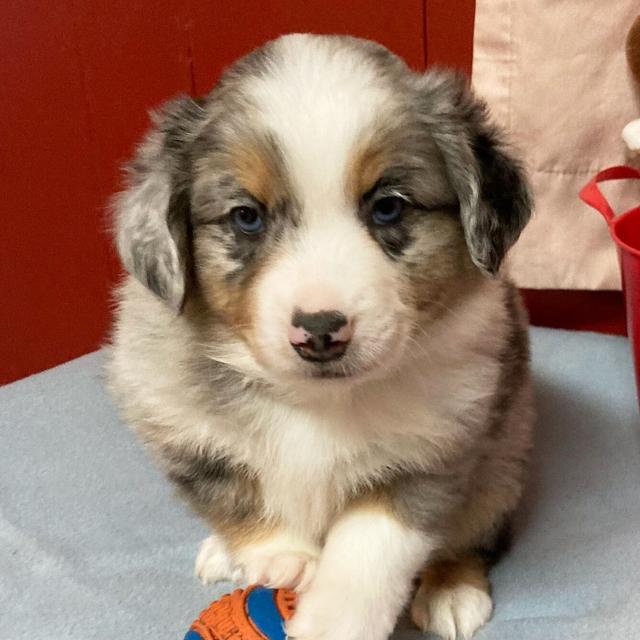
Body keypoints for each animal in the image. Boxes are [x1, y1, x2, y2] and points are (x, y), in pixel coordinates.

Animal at [107, 33, 532, 640]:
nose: (320, 331)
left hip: (504, 459)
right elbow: (233, 496)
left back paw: (453, 589)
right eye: (246, 217)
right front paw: (280, 557)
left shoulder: (433, 453)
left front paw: (331, 620)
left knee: (476, 531)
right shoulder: (182, 435)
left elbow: (367, 558)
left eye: (388, 207)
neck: (315, 400)